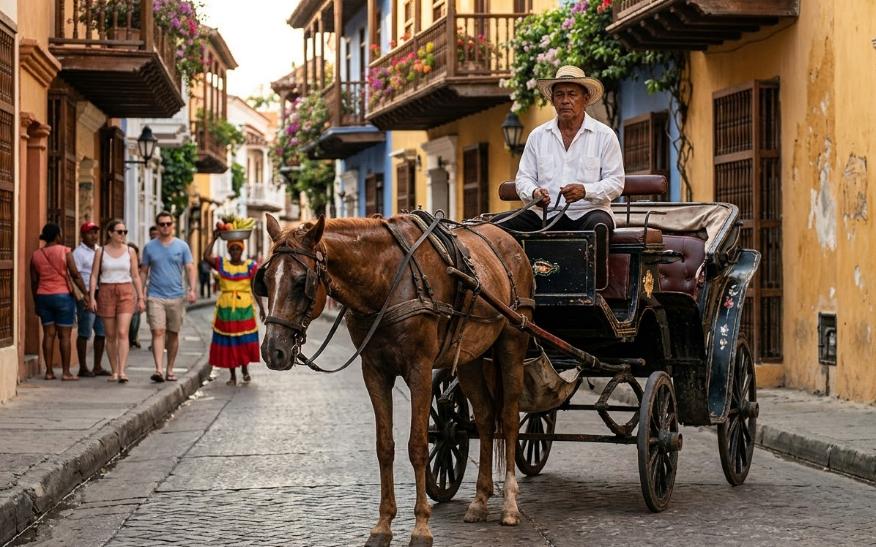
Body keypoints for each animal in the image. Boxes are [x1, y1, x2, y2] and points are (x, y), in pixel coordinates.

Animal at [258, 212, 534, 547]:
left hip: (513, 341)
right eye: (266, 281)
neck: (388, 282)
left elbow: (417, 446)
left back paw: (510, 505)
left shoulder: (419, 371)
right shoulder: (375, 373)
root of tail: (507, 238)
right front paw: (383, 525)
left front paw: (421, 528)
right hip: (471, 355)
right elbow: (384, 447)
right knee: (484, 416)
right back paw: (480, 501)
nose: (273, 351)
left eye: (302, 282)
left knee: (508, 418)